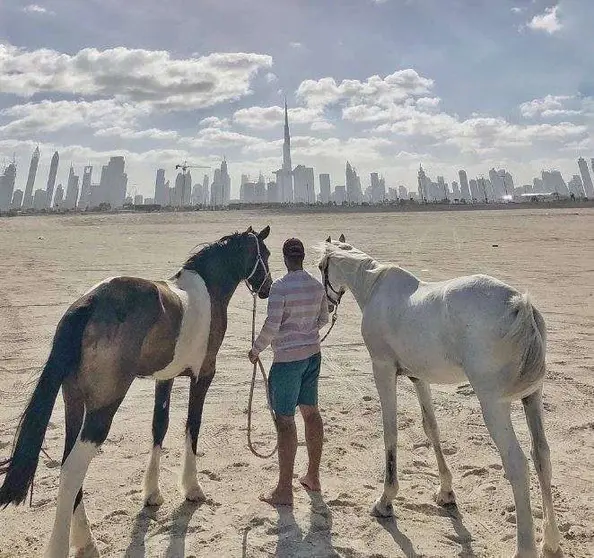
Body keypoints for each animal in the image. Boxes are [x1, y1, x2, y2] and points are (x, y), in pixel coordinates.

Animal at [0, 225, 272, 556]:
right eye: (265, 254)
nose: (268, 287)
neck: (207, 290)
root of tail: (88, 304)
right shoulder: (203, 375)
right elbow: (192, 426)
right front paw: (192, 488)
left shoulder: (165, 378)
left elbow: (159, 427)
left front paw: (152, 493)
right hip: (101, 411)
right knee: (72, 471)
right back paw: (66, 546)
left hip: (73, 403)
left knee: (67, 465)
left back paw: (85, 541)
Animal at [320, 235, 560, 558]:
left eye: (321, 267)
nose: (327, 305)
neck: (374, 288)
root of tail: (520, 305)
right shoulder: (418, 377)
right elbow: (430, 428)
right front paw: (446, 491)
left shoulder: (382, 369)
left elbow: (390, 431)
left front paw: (385, 501)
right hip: (532, 397)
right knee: (541, 455)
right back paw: (551, 541)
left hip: (494, 406)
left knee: (517, 464)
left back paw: (525, 548)